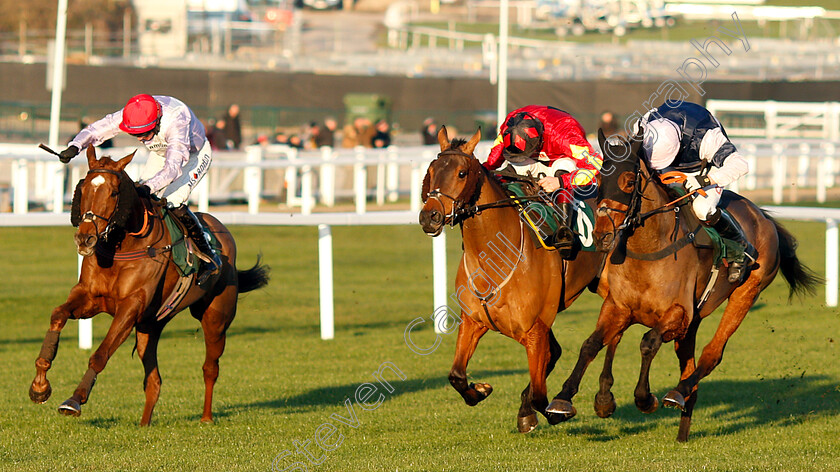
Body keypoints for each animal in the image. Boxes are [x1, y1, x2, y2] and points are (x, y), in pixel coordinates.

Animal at [28, 146, 270, 426]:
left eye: (114, 192)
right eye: (84, 188)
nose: (85, 238)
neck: (121, 247)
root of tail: (222, 230)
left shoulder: (130, 306)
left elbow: (100, 354)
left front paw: (74, 400)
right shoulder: (90, 297)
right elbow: (58, 315)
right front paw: (39, 386)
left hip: (215, 319)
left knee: (210, 368)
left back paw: (206, 417)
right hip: (150, 326)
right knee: (154, 380)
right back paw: (145, 423)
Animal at [418, 127, 604, 434]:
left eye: (461, 173)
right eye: (430, 171)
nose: (429, 216)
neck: (493, 257)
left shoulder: (535, 329)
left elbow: (541, 394)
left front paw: (555, 411)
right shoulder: (474, 321)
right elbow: (456, 375)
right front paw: (481, 390)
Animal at [544, 130, 820, 442]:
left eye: (629, 182)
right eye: (600, 181)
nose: (602, 236)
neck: (651, 249)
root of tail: (762, 215)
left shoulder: (679, 314)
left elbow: (648, 342)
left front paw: (645, 398)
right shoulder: (619, 307)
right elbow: (591, 344)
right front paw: (563, 401)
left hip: (746, 293)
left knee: (712, 354)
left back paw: (677, 393)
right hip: (695, 320)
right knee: (689, 364)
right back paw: (683, 427)